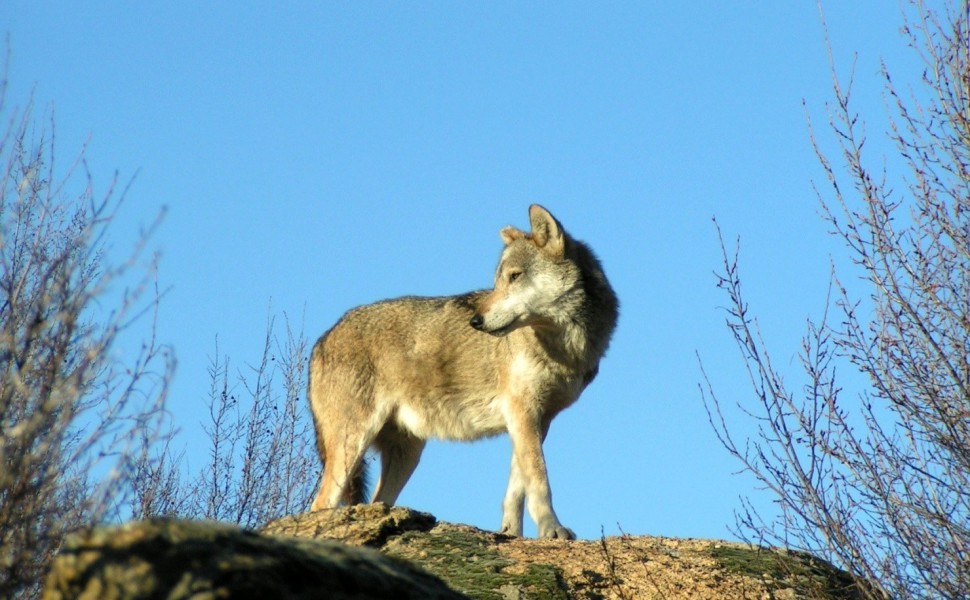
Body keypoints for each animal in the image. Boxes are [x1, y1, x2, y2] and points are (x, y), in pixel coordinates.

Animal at [306, 203, 616, 540]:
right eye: (497, 281)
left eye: (515, 276)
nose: (476, 322)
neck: (564, 348)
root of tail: (321, 340)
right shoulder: (522, 412)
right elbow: (539, 480)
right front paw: (552, 529)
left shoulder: (535, 420)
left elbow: (516, 488)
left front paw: (510, 533)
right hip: (353, 445)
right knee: (319, 504)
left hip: (407, 454)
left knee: (374, 501)